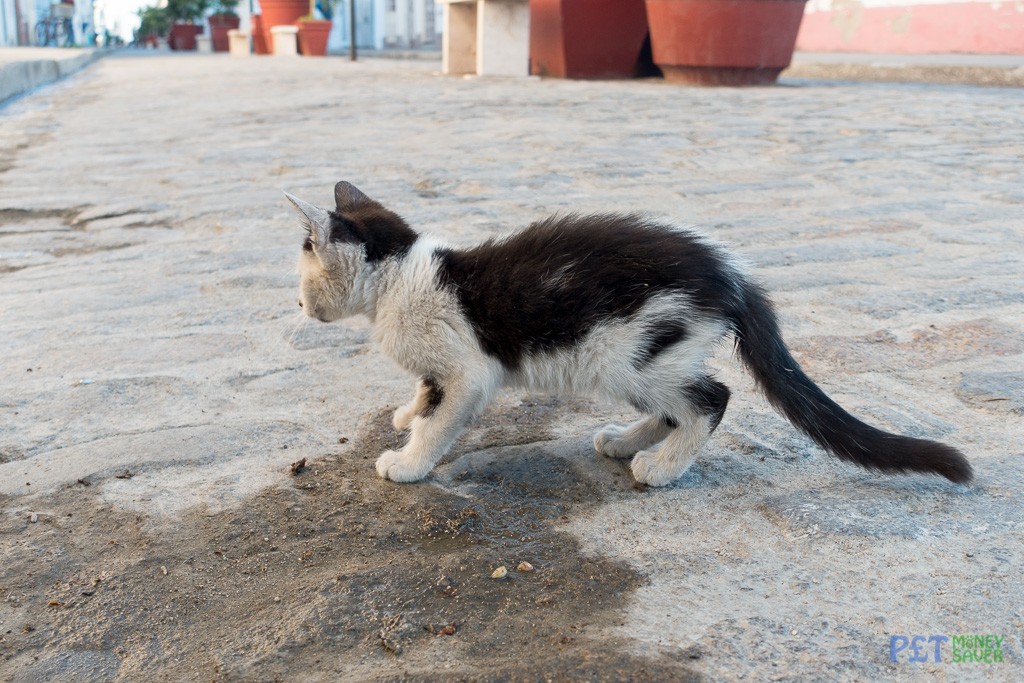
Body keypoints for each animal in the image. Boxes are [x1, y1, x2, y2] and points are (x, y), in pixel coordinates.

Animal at [284, 183, 970, 485]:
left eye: (304, 262)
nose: (296, 302)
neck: (403, 275)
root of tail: (729, 275)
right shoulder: (440, 368)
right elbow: (425, 395)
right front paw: (406, 414)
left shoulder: (468, 370)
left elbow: (442, 415)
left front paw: (408, 460)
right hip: (636, 358)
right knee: (675, 406)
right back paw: (623, 442)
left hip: (627, 349)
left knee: (711, 400)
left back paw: (660, 468)